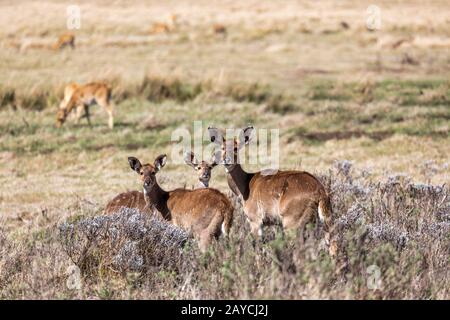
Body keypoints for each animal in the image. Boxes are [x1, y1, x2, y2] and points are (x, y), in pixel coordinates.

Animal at [207, 126, 334, 254]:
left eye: (236, 148)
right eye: (222, 147)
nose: (226, 160)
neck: (246, 185)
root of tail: (320, 192)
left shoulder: (255, 221)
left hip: (292, 224)